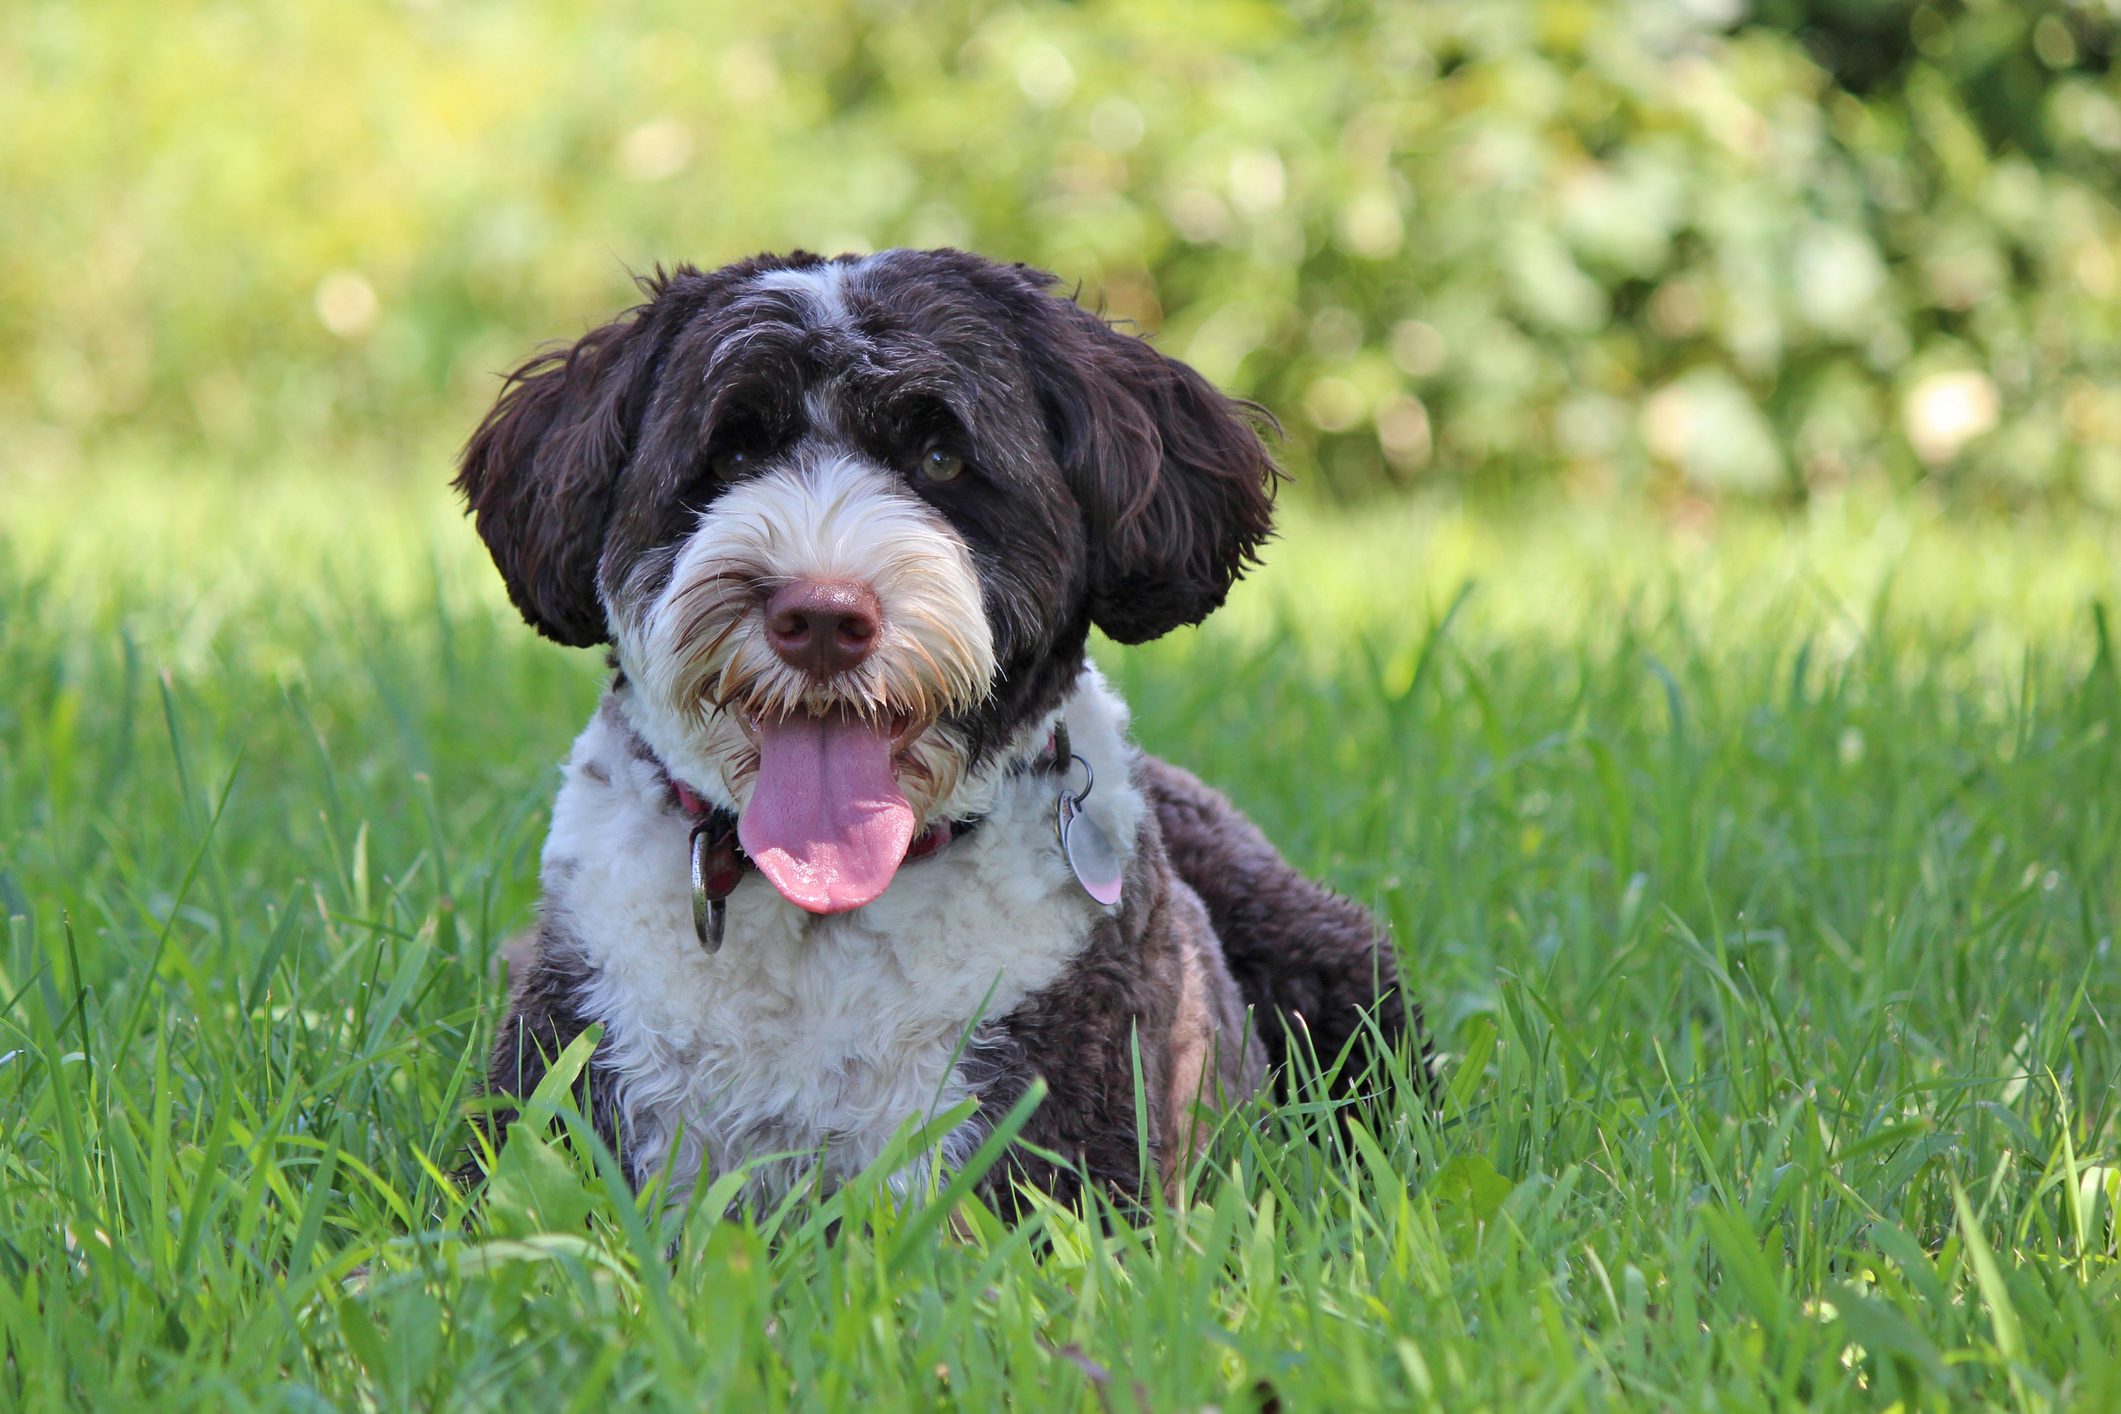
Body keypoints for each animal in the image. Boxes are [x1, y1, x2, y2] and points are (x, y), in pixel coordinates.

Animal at [456, 249, 1416, 1212]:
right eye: (732, 451)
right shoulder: (564, 1094)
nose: (821, 615)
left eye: (941, 457)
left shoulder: (1059, 1158)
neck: (823, 913)